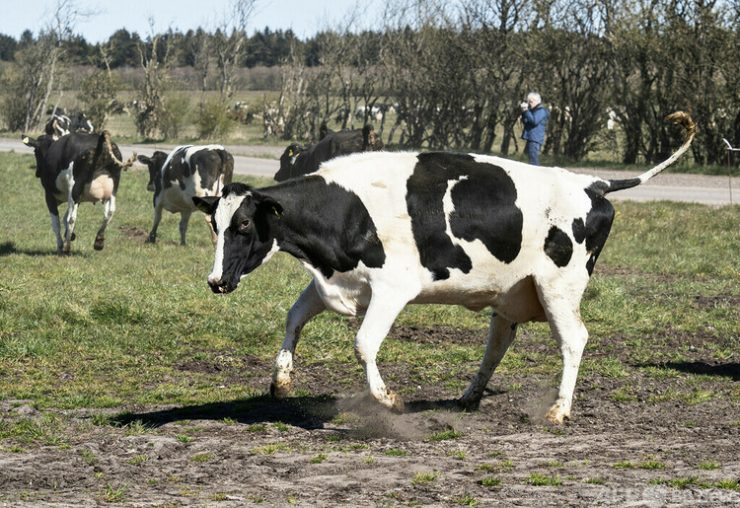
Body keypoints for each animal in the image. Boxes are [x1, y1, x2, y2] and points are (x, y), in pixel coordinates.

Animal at [195, 112, 692, 424]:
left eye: (244, 224)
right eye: (214, 224)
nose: (216, 281)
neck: (347, 207)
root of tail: (592, 183)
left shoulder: (391, 289)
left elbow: (363, 344)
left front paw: (388, 400)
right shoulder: (336, 282)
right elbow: (294, 318)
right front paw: (281, 381)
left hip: (559, 287)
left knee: (574, 340)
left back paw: (558, 410)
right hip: (512, 292)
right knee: (498, 344)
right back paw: (469, 396)